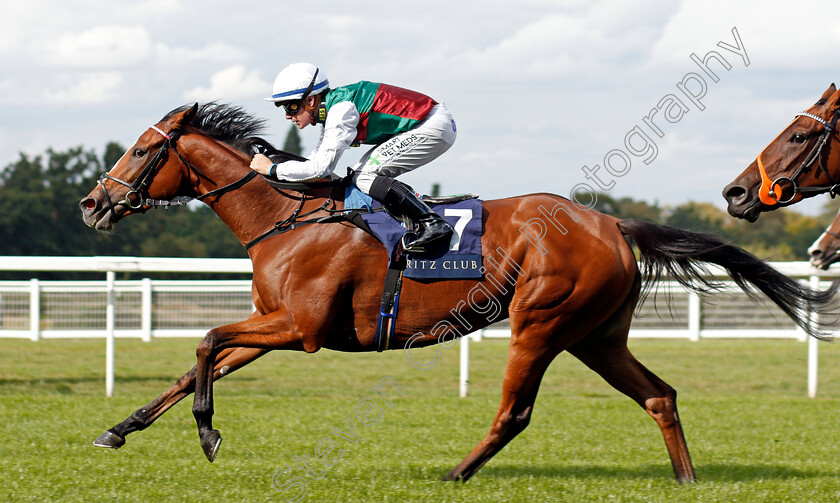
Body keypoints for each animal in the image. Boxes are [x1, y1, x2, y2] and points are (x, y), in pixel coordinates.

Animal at [80, 102, 840, 484]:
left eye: (142, 151)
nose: (94, 202)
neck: (289, 217)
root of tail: (611, 221)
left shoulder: (300, 328)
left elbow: (207, 341)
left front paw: (208, 432)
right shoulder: (273, 321)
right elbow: (198, 360)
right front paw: (121, 427)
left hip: (542, 321)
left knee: (516, 411)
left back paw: (455, 473)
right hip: (596, 335)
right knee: (659, 395)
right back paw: (685, 481)